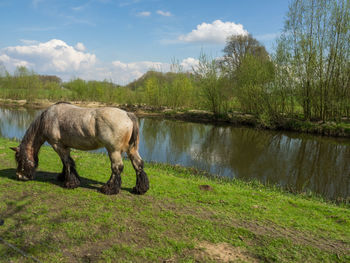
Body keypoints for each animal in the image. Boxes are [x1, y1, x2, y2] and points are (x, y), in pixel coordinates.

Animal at [9, 103, 149, 196]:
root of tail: (127, 114)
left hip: (113, 151)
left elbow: (67, 162)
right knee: (138, 165)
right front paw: (63, 177)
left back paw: (109, 189)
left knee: (117, 168)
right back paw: (140, 188)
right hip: (131, 150)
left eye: (19, 159)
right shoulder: (65, 146)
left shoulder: (57, 145)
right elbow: (66, 163)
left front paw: (70, 183)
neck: (47, 118)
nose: (19, 176)